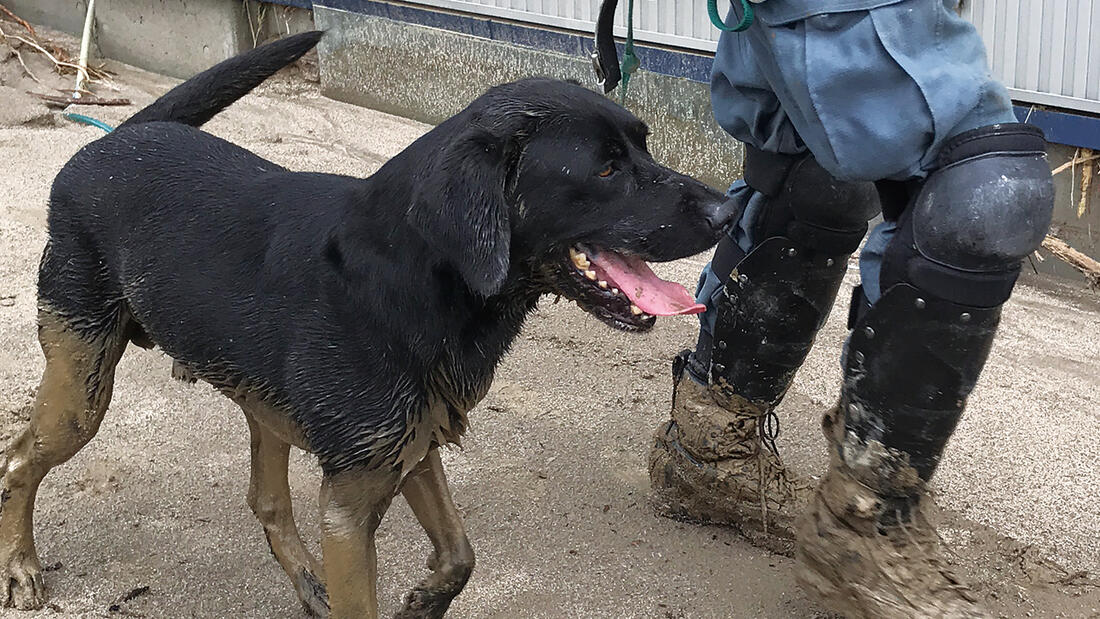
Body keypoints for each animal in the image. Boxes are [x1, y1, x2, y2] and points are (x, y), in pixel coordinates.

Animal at [2, 31, 739, 615]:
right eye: (608, 169)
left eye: (644, 148)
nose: (730, 212)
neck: (418, 275)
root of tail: (118, 139)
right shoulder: (350, 508)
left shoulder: (411, 446)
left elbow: (460, 554)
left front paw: (425, 601)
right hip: (81, 387)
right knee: (18, 458)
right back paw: (21, 566)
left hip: (257, 399)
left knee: (267, 500)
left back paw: (307, 585)